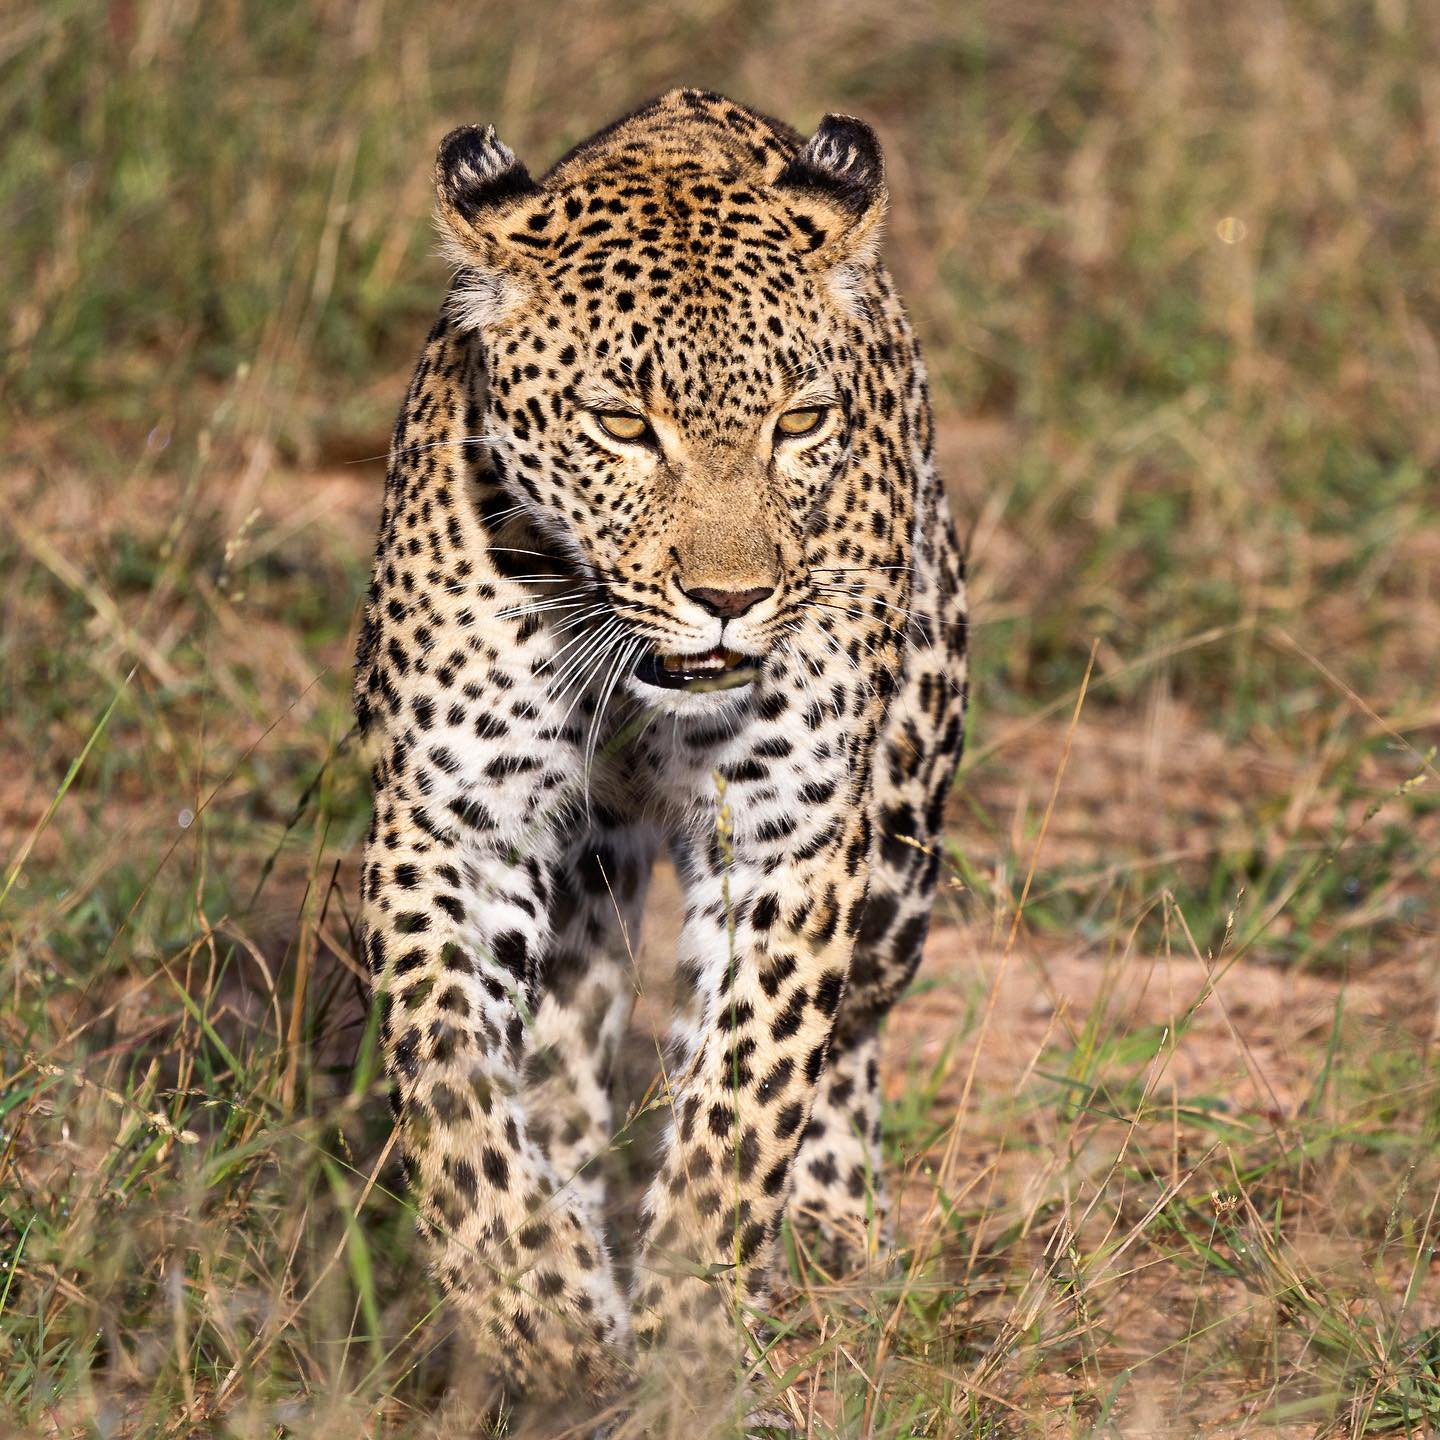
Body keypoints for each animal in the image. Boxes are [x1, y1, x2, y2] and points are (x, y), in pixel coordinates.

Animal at [354, 87, 968, 1425]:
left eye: (801, 421)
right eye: (624, 426)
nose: (732, 601)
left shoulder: (789, 839)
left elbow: (743, 1108)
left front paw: (691, 1342)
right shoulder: (453, 821)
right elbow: (450, 1081)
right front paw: (540, 1308)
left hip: (903, 833)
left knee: (848, 1034)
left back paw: (832, 1238)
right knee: (561, 1053)